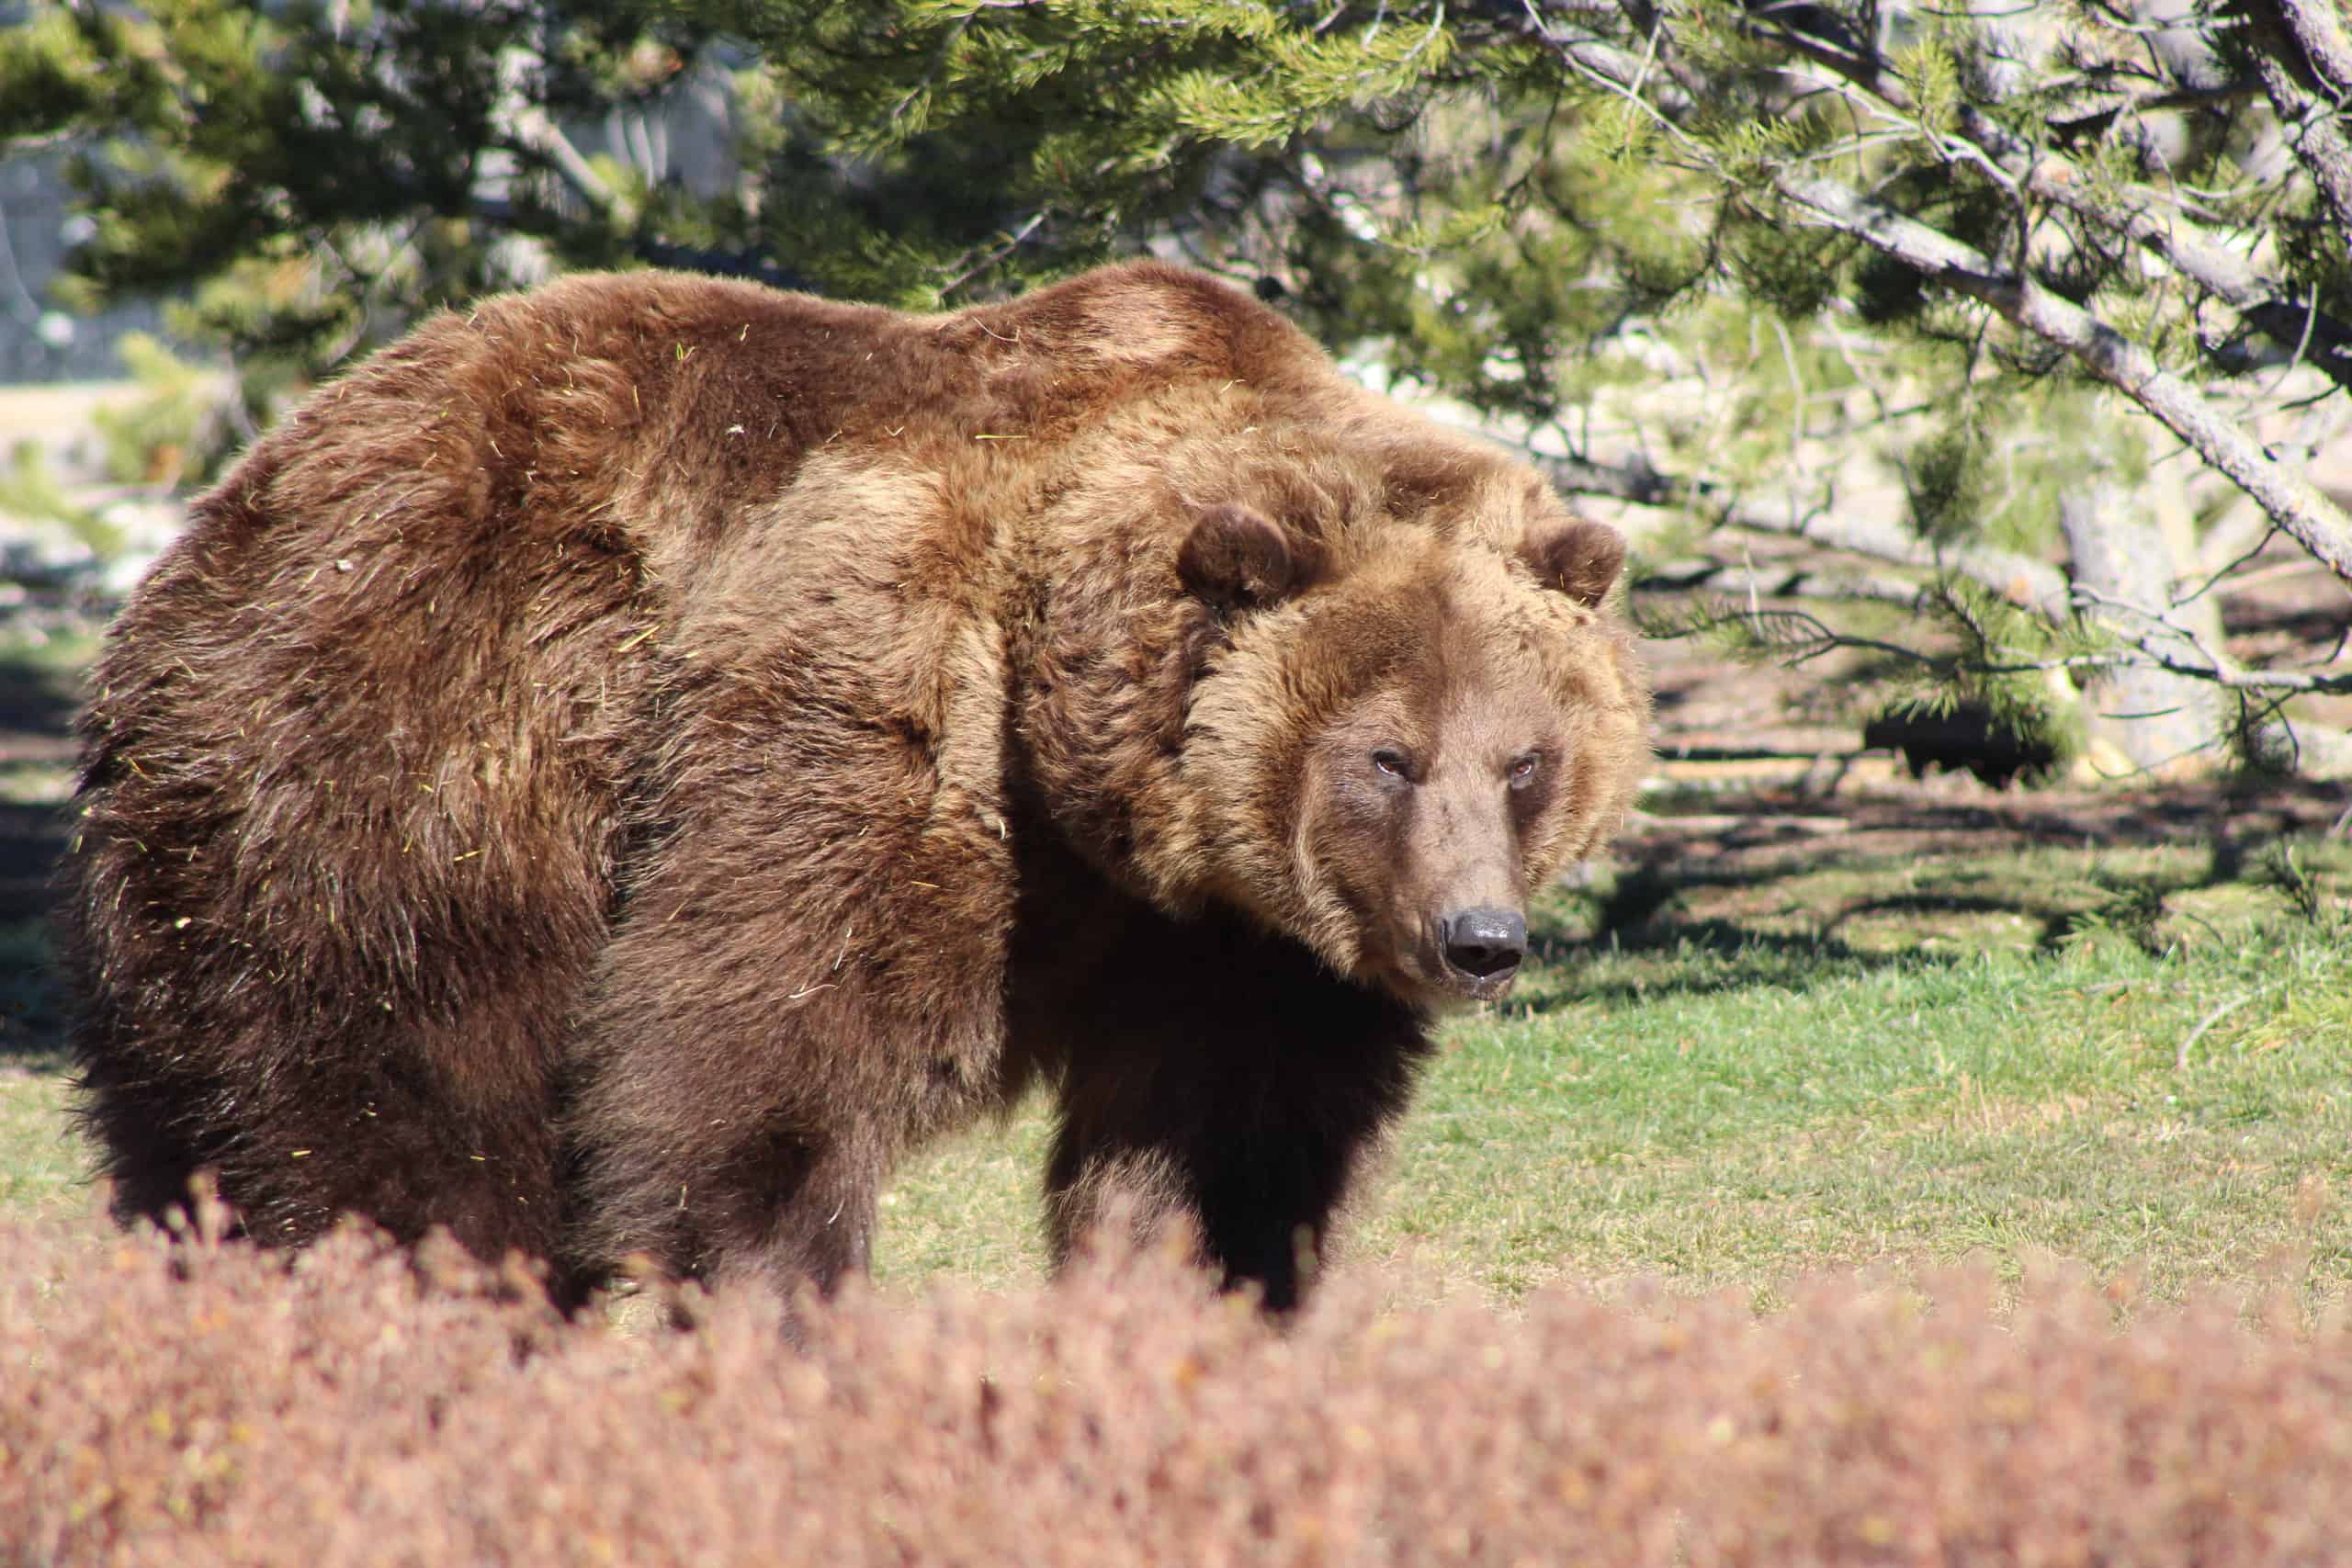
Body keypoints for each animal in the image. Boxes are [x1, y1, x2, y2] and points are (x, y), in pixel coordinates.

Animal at [63, 261, 1649, 1312]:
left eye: (1525, 757)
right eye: (1389, 754)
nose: (1478, 939)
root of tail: (228, 506)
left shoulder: (1244, 940)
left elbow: (1220, 1147)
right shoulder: (874, 695)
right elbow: (757, 1056)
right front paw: (783, 1300)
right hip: (407, 775)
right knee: (396, 1114)